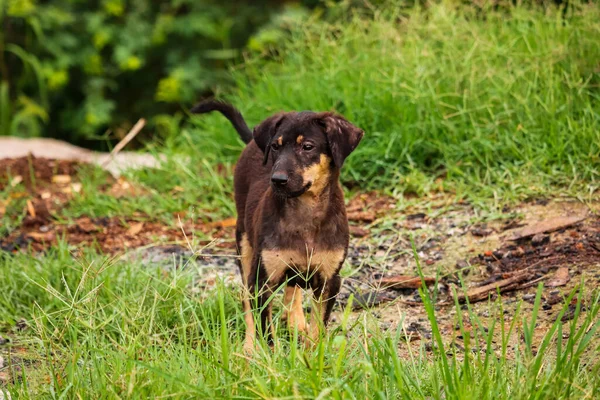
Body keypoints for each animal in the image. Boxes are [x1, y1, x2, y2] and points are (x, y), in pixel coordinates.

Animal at [190, 99, 364, 350]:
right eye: (275, 147)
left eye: (308, 147)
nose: (277, 180)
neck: (304, 211)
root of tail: (252, 142)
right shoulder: (263, 279)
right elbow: (265, 329)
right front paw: (269, 355)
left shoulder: (330, 280)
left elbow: (318, 326)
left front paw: (313, 354)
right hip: (245, 247)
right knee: (247, 300)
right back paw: (249, 346)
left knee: (293, 290)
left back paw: (296, 322)